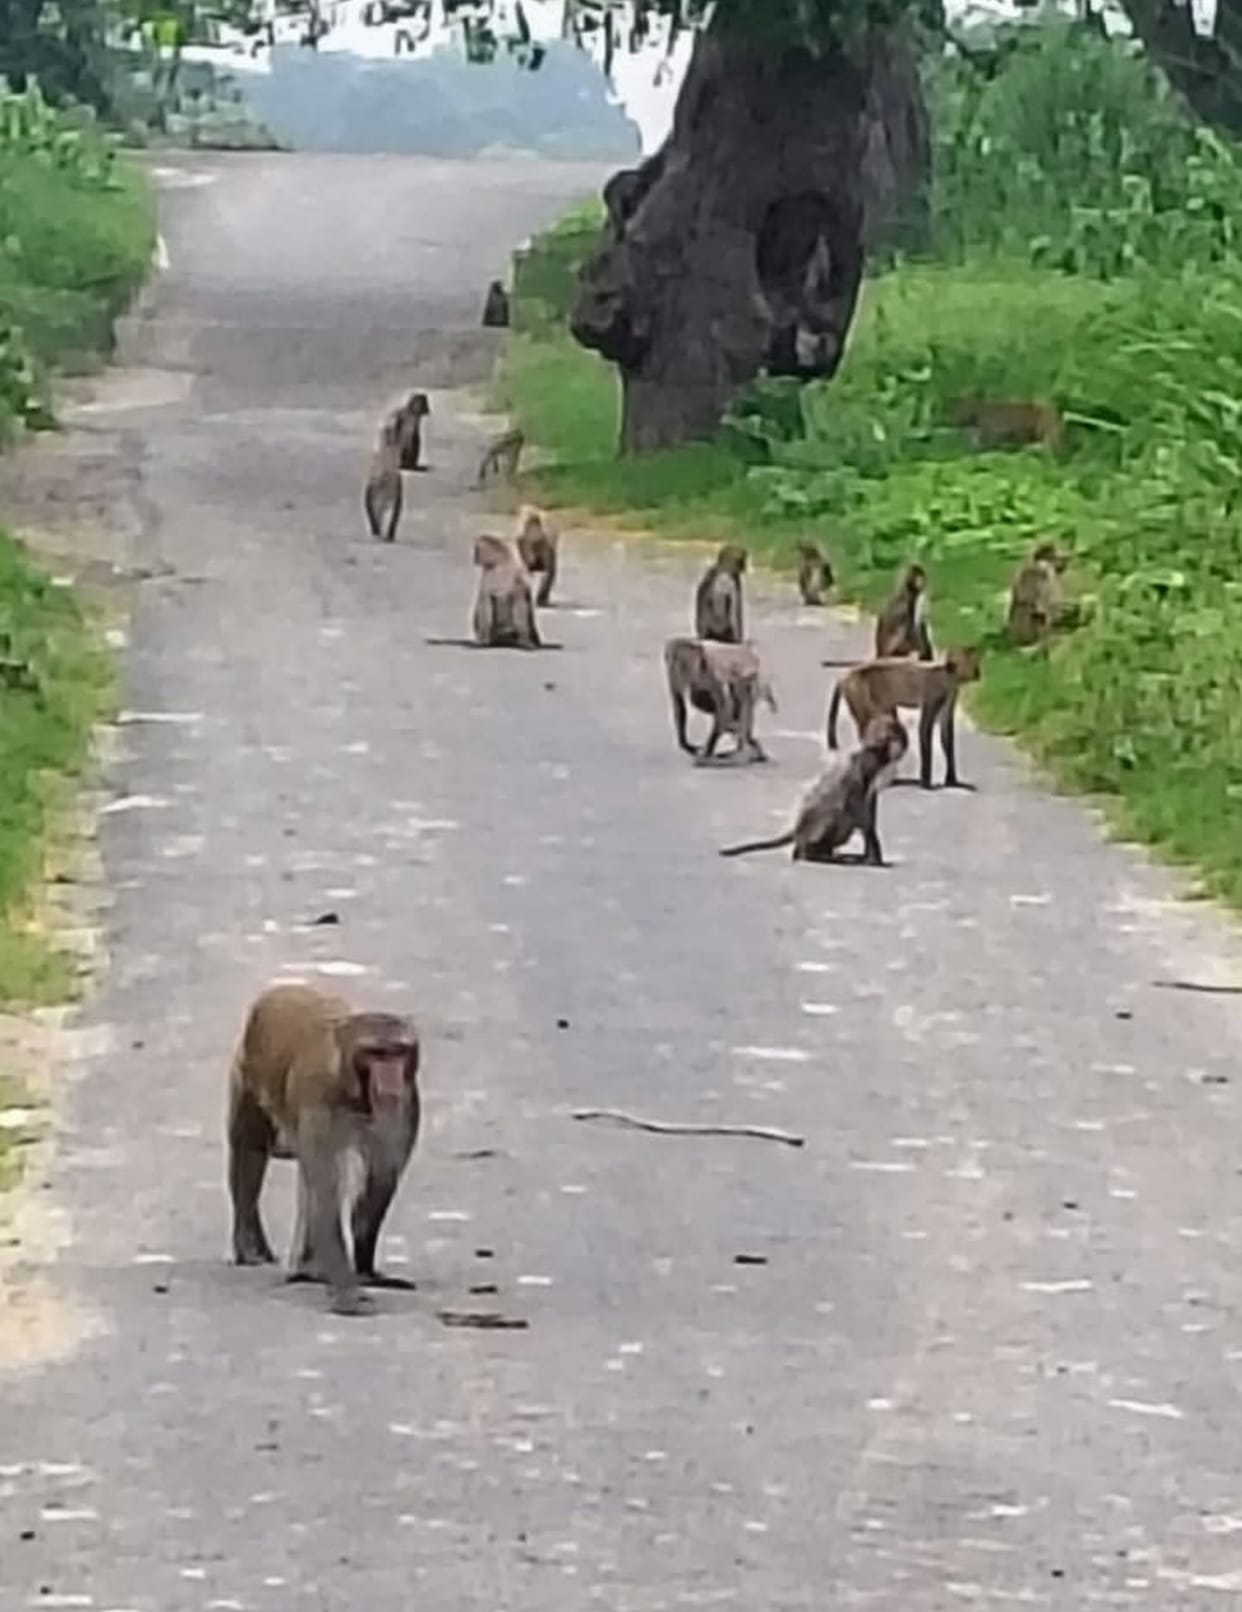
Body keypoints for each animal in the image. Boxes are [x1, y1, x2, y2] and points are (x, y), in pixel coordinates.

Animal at [226, 982, 421, 1317]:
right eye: (376, 1054)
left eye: (398, 1051)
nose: (390, 1078)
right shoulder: (317, 1099)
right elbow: (327, 1194)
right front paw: (348, 1293)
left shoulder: (406, 1102)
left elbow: (379, 1181)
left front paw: (365, 1272)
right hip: (246, 1071)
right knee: (250, 1150)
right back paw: (250, 1246)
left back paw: (310, 1269)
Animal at [362, 413, 404, 542]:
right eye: (386, 429)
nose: (396, 421)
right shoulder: (371, 489)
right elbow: (372, 514)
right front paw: (376, 531)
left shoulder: (397, 492)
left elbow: (393, 519)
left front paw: (389, 535)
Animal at [663, 636, 776, 765]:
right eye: (671, 659)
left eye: (682, 662)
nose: (675, 665)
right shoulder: (672, 674)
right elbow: (679, 704)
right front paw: (686, 746)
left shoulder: (712, 672)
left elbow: (723, 706)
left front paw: (707, 752)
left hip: (755, 677)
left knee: (740, 696)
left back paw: (741, 750)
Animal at [719, 715, 908, 865]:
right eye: (899, 736)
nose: (904, 746)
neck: (876, 753)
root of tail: (798, 829)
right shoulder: (864, 766)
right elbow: (858, 808)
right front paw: (873, 854)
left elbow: (868, 805)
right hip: (811, 826)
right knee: (836, 810)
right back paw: (808, 854)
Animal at [826, 647, 983, 791]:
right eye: (970, 660)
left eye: (975, 659)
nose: (977, 672)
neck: (949, 678)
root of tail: (847, 674)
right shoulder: (933, 696)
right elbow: (925, 729)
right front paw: (926, 782)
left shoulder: (949, 701)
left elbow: (947, 737)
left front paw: (952, 780)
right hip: (859, 695)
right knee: (869, 726)